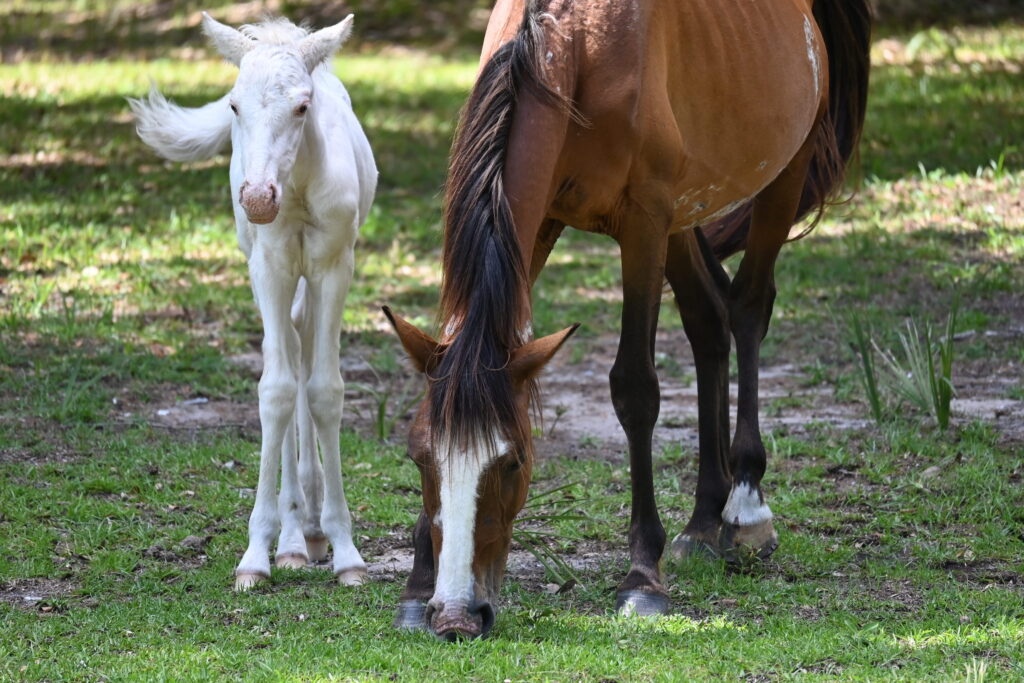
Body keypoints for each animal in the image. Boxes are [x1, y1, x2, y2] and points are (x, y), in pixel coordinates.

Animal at [130, 13, 377, 590]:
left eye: (303, 106)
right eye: (234, 107)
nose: (258, 199)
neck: (299, 188)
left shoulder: (335, 264)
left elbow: (326, 390)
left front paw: (346, 550)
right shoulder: (269, 264)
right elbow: (276, 390)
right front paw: (257, 553)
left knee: (304, 346)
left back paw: (311, 529)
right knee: (287, 353)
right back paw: (292, 539)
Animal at [385, 0, 870, 639]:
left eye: (513, 461)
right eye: (420, 458)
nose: (460, 616)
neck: (572, 45)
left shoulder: (642, 222)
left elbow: (635, 389)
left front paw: (642, 577)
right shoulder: (541, 222)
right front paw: (419, 585)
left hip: (780, 173)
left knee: (747, 308)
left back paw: (744, 508)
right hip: (684, 211)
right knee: (708, 318)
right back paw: (703, 522)